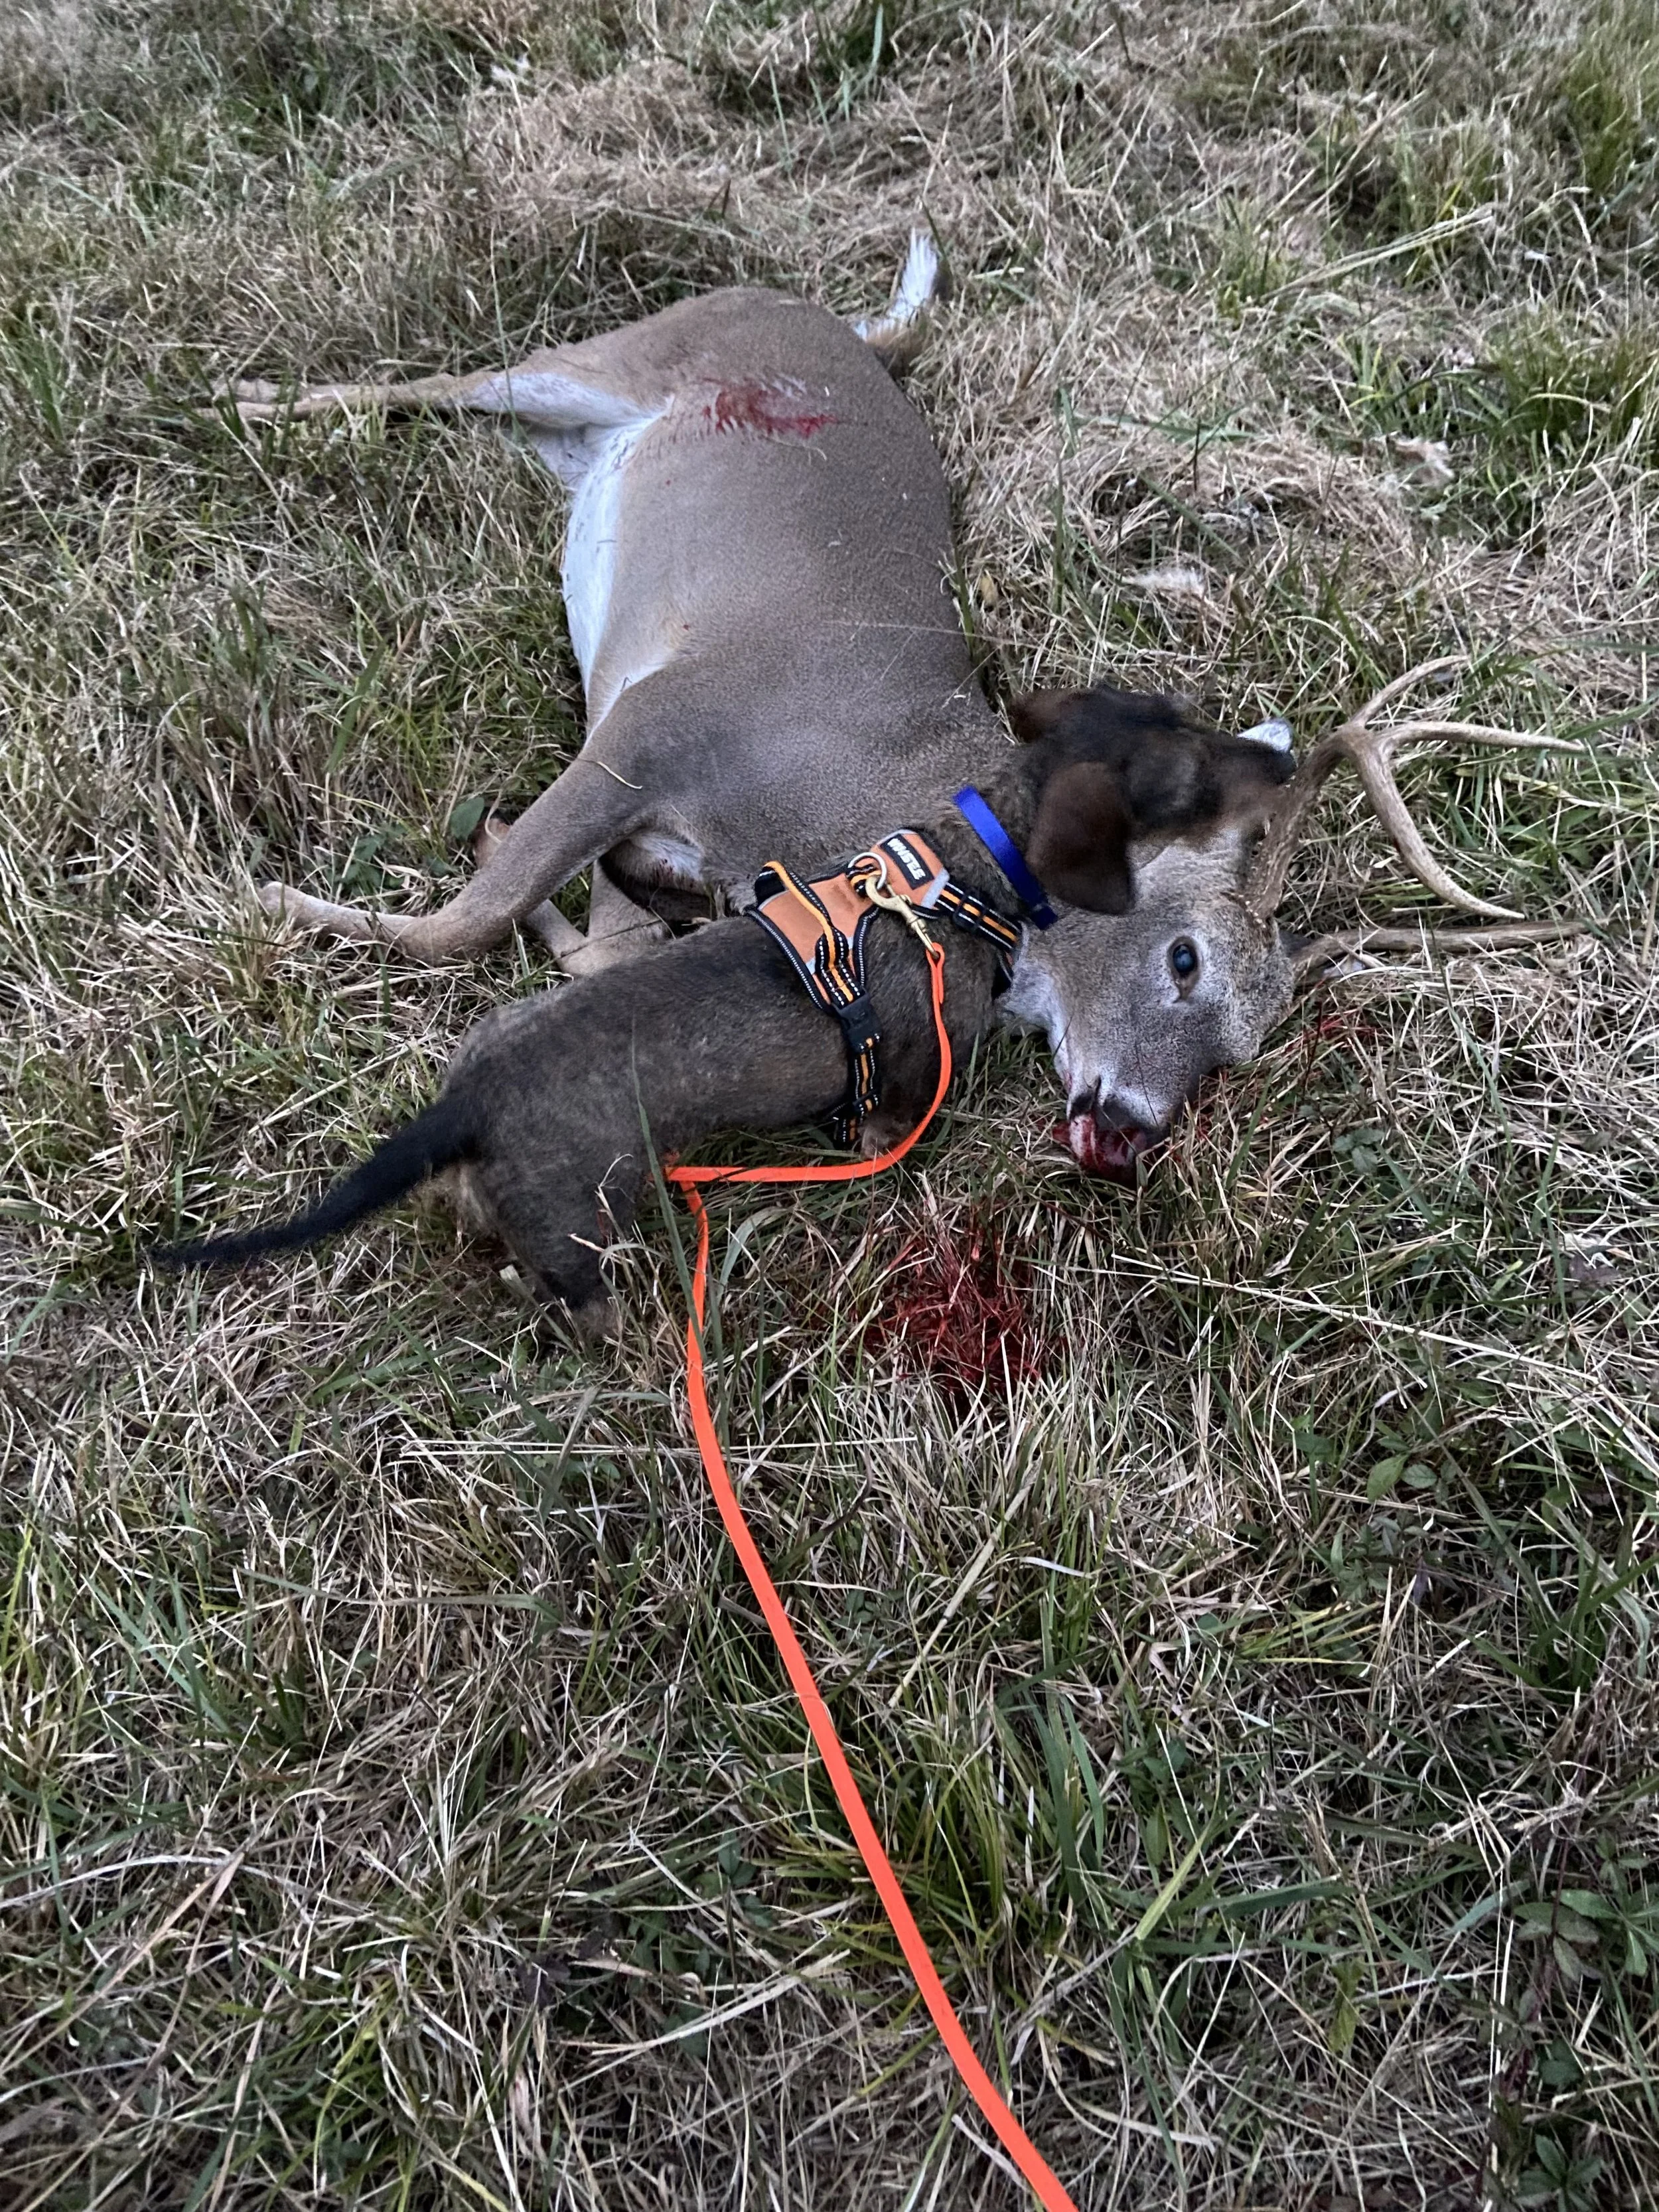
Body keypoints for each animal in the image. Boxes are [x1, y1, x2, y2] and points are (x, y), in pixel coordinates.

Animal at [228, 237, 1581, 1176]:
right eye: (1184, 957)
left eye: (1242, 1052)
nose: (1132, 1127)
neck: (890, 809)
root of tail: (837, 324)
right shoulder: (665, 714)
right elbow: (467, 923)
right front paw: (278, 905)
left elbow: (579, 931)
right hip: (625, 351)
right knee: (454, 375)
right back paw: (249, 400)